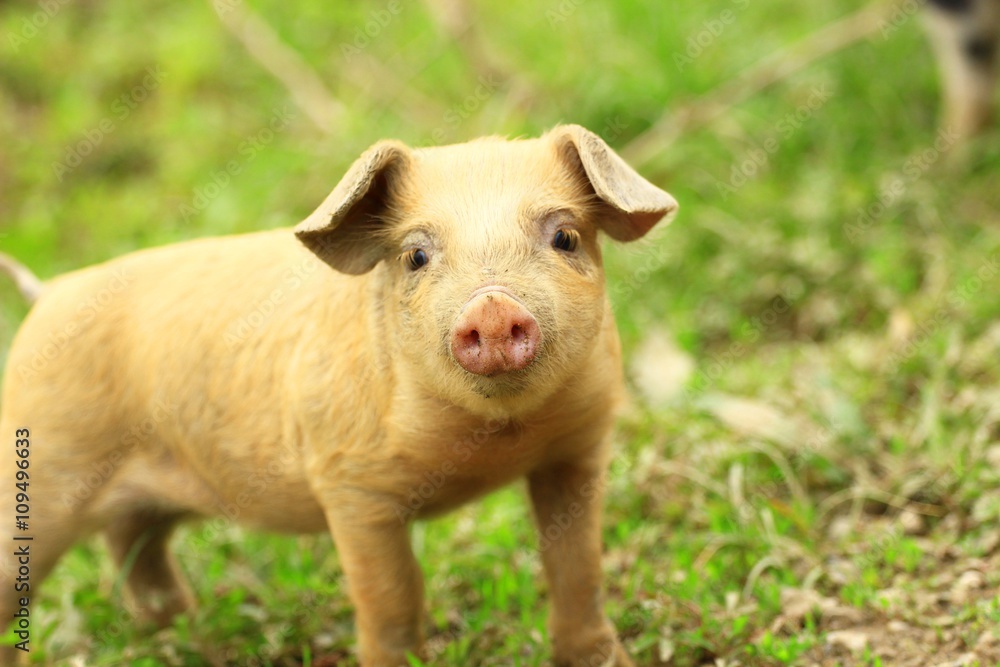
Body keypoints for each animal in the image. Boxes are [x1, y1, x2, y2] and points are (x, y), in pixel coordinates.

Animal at [0, 124, 677, 666]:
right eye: (416, 254)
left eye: (565, 237)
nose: (491, 306)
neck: (492, 441)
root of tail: (46, 294)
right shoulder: (351, 486)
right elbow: (393, 598)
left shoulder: (579, 447)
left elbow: (577, 566)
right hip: (37, 468)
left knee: (135, 552)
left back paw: (187, 633)